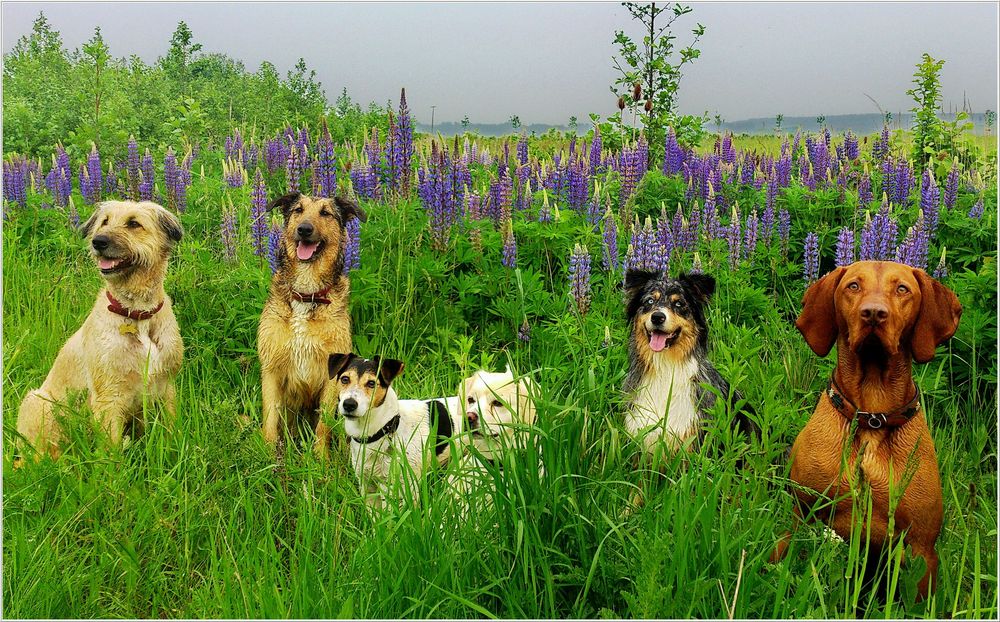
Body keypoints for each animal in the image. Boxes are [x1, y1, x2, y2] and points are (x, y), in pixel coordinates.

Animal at [16, 200, 186, 458]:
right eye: (104, 222)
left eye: (133, 223)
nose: (98, 241)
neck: (136, 313)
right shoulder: (109, 396)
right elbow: (112, 450)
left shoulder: (166, 386)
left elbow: (170, 428)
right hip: (38, 401)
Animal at [772, 260, 960, 604]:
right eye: (854, 286)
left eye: (902, 289)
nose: (873, 313)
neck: (873, 416)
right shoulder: (801, 514)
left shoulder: (921, 548)